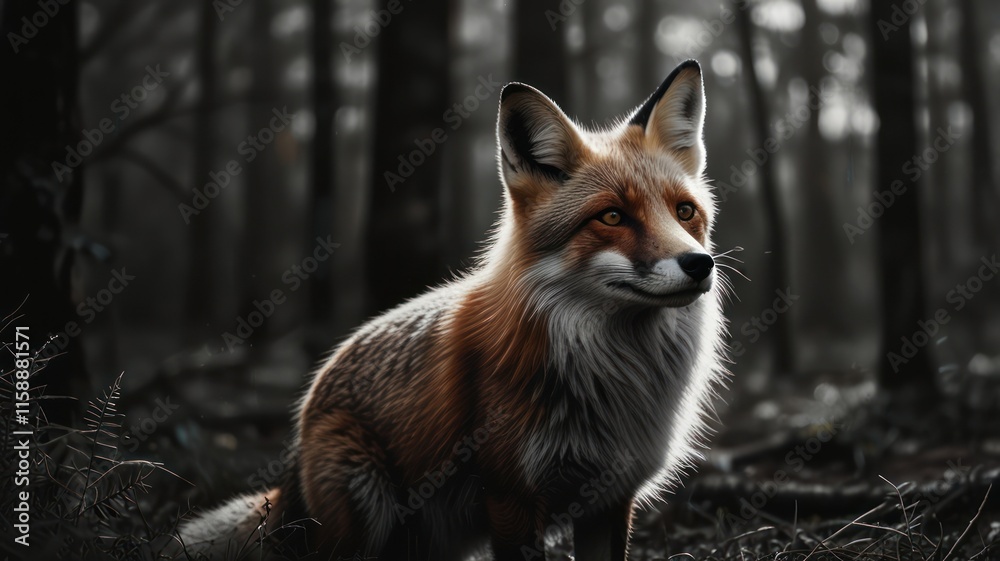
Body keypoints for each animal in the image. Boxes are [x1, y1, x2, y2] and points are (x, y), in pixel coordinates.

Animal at [178, 59, 728, 561]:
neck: (611, 377)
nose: (699, 264)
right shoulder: (510, 495)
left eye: (684, 212)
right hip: (363, 511)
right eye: (612, 217)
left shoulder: (609, 498)